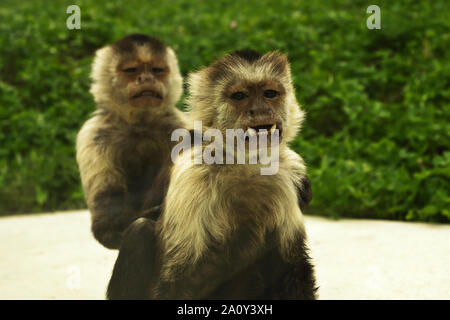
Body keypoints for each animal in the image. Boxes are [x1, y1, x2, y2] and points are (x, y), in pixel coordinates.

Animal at [75, 35, 186, 250]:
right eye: (131, 70)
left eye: (157, 70)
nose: (147, 79)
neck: (139, 126)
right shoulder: (94, 135)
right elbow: (107, 227)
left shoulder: (179, 124)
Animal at [107, 50, 314, 300]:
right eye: (240, 96)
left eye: (270, 94)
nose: (260, 110)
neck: (245, 165)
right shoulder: (193, 174)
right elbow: (177, 280)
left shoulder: (288, 172)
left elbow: (294, 267)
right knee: (139, 231)